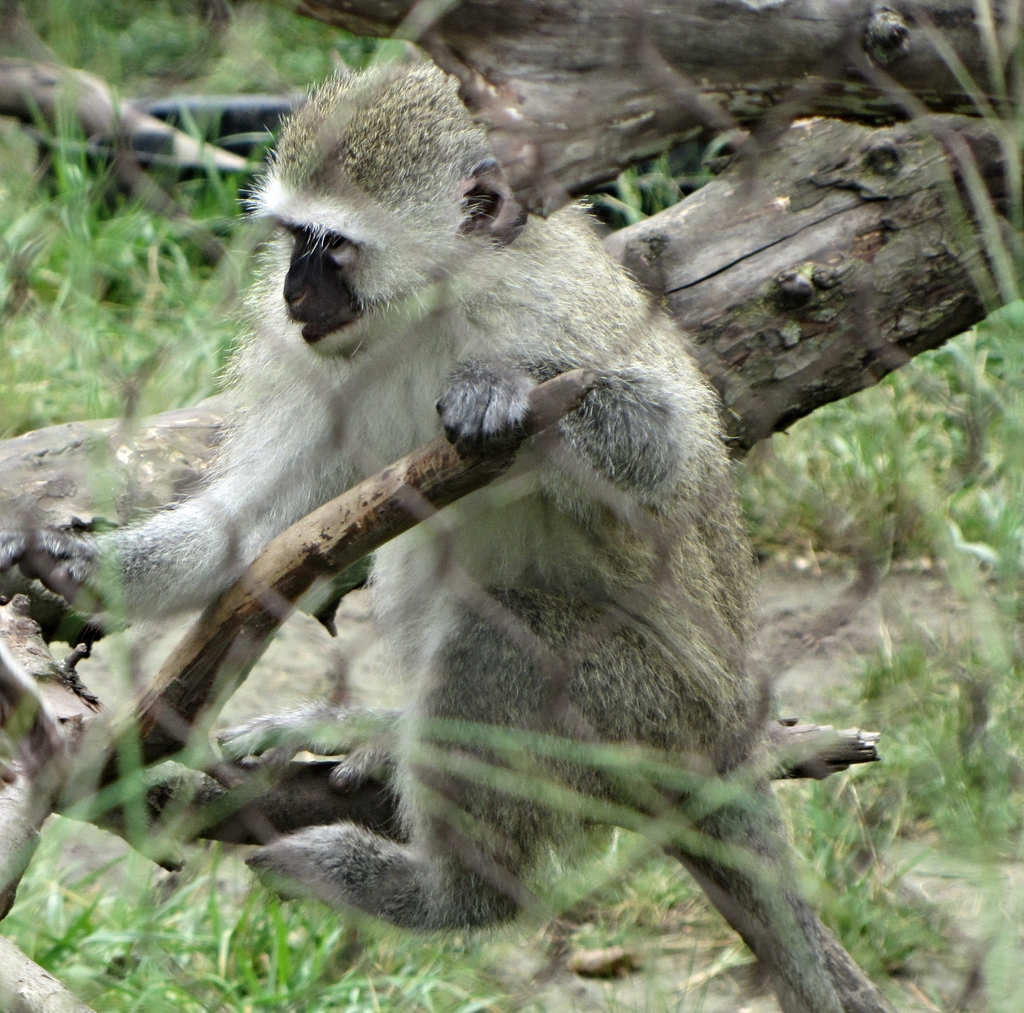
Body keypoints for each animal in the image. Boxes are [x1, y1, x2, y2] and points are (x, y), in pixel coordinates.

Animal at [0, 64, 861, 1013]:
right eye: (293, 239)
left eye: (332, 246)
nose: (292, 294)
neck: (435, 305)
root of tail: (730, 733)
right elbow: (253, 517)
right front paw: (72, 563)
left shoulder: (561, 313)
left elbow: (666, 449)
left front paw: (504, 389)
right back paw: (383, 733)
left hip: (643, 711)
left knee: (501, 637)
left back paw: (451, 894)